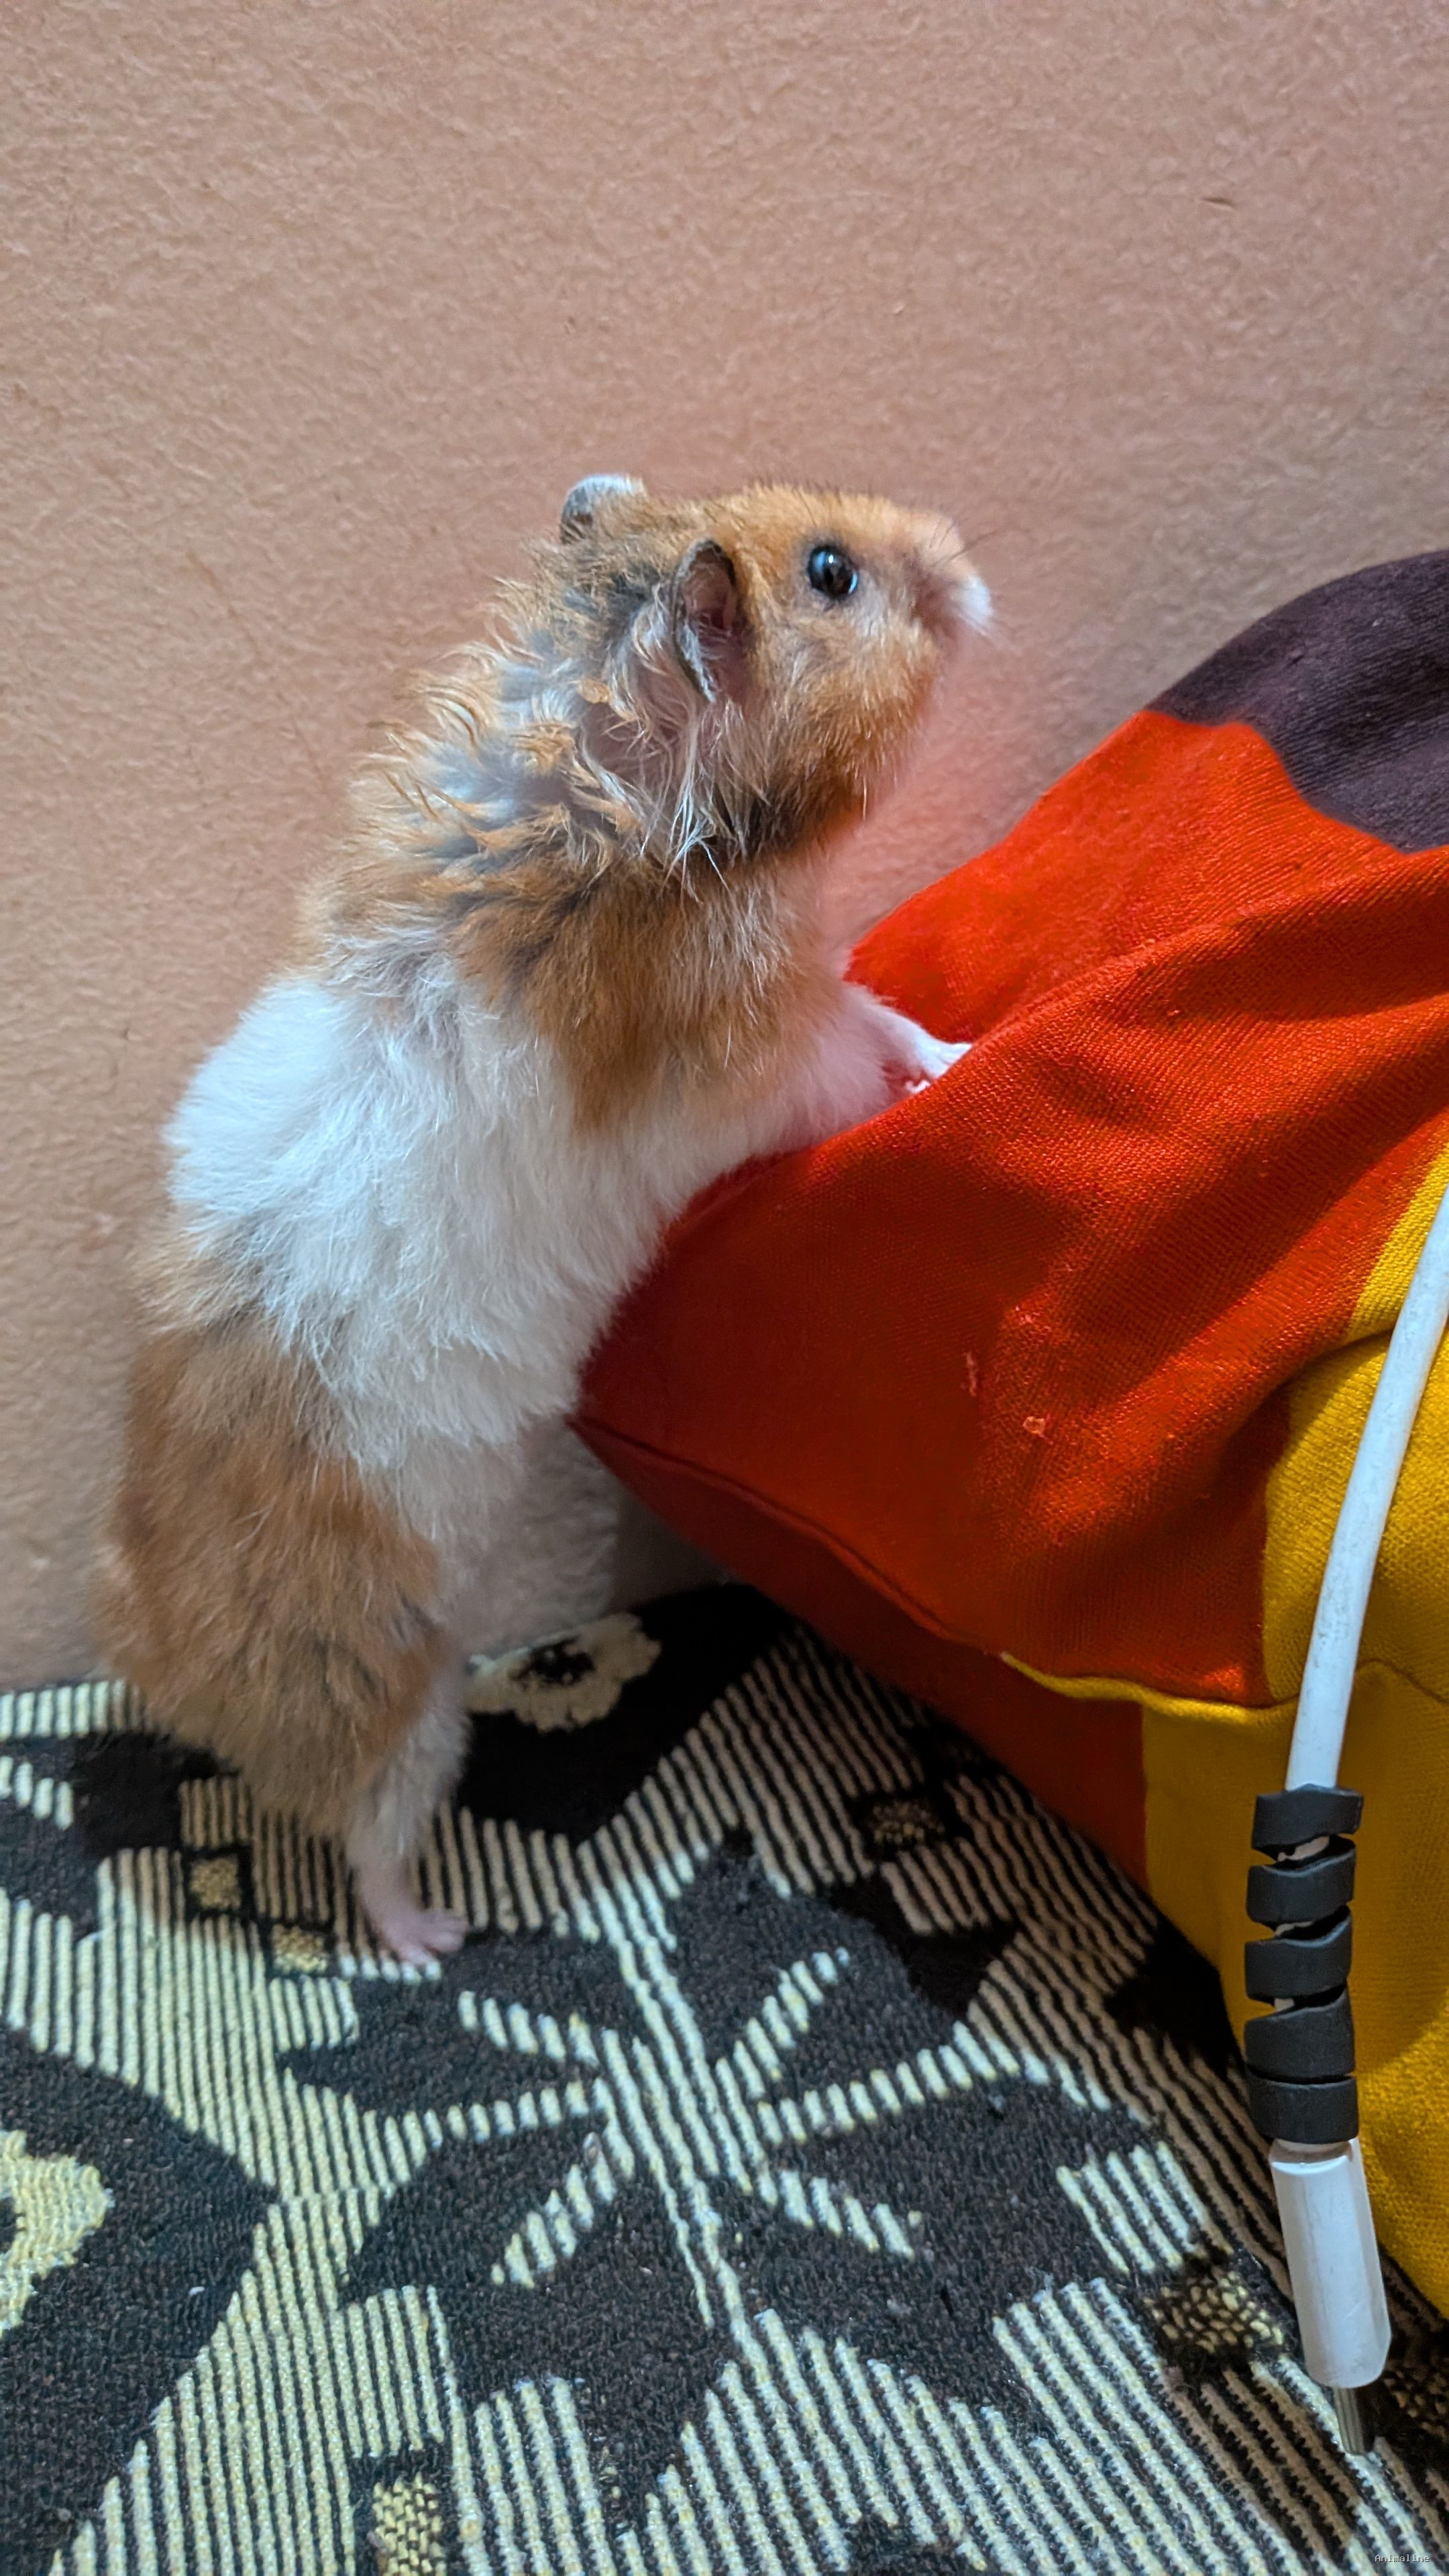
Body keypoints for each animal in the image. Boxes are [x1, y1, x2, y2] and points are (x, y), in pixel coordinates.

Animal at [96, 475, 987, 1964]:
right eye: (833, 575)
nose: (971, 561)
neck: (608, 761)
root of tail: (159, 1672)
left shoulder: (794, 1017)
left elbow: (875, 1012)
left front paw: (956, 1044)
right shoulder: (768, 1064)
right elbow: (864, 1052)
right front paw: (967, 1063)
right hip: (402, 1707)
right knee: (367, 1842)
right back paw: (436, 1940)